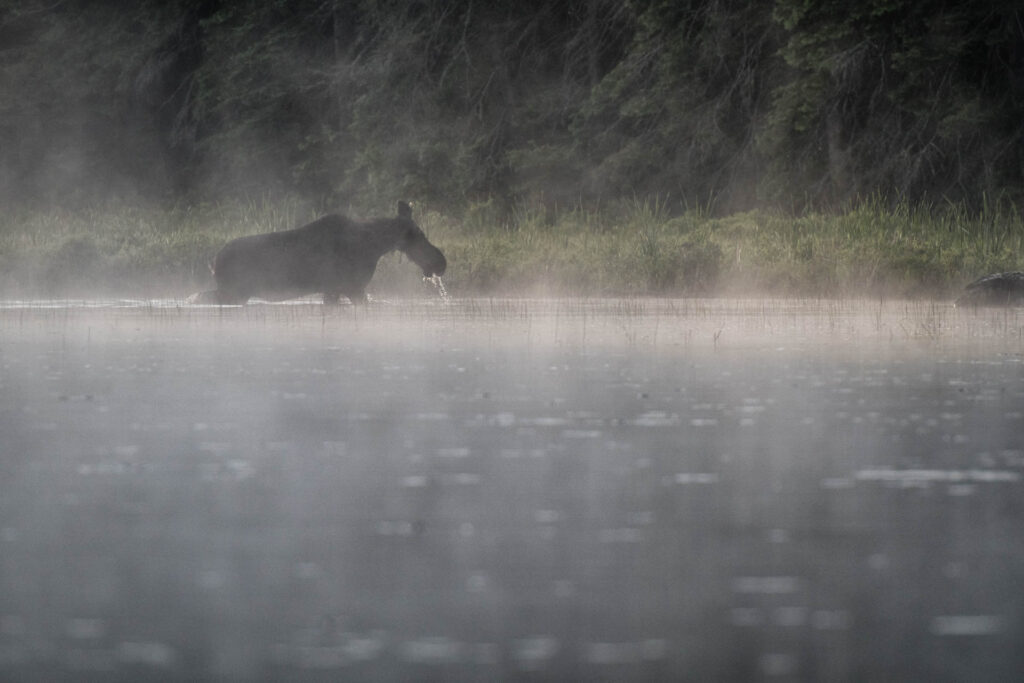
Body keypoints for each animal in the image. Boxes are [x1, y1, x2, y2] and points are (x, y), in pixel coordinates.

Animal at [190, 201, 446, 305]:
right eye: (419, 234)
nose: (441, 262)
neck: (375, 246)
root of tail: (213, 261)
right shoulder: (348, 287)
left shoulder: (342, 289)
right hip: (234, 291)